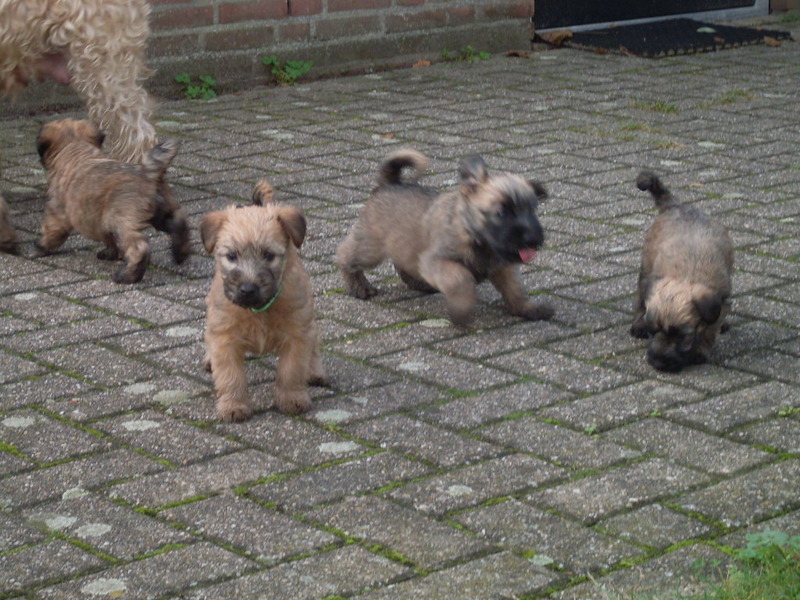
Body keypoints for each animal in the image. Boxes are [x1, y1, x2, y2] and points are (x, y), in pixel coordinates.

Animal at [36, 120, 191, 286]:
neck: (75, 148)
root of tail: (148, 174)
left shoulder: (58, 209)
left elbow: (52, 229)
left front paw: (42, 246)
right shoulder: (99, 221)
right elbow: (108, 239)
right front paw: (110, 253)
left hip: (121, 221)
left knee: (139, 248)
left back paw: (128, 276)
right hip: (161, 213)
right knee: (178, 222)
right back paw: (180, 252)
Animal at [203, 182, 328, 422]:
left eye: (269, 255)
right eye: (231, 256)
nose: (248, 289)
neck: (257, 310)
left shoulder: (297, 333)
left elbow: (291, 371)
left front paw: (292, 399)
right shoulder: (225, 337)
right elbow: (231, 376)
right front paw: (233, 405)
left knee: (315, 341)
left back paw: (316, 371)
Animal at [334, 150, 552, 328]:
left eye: (532, 210)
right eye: (501, 212)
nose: (532, 239)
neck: (475, 237)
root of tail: (387, 185)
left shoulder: (503, 267)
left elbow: (515, 289)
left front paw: (527, 308)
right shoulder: (438, 262)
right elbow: (461, 279)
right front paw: (461, 312)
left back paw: (418, 282)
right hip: (370, 248)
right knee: (345, 254)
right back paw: (359, 286)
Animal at [632, 171, 736, 372]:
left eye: (681, 335)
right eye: (653, 330)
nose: (658, 363)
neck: (688, 274)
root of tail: (675, 205)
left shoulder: (721, 298)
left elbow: (710, 327)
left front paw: (701, 350)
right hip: (646, 267)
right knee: (640, 297)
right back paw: (638, 324)